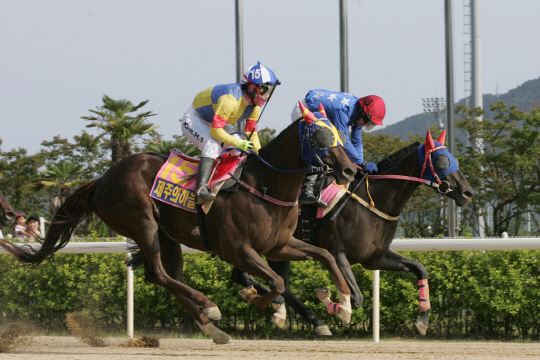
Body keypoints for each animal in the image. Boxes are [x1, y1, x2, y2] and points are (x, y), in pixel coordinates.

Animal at [1, 109, 358, 344]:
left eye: (339, 133)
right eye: (321, 135)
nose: (349, 170)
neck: (266, 185)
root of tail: (102, 179)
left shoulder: (279, 245)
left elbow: (325, 255)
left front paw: (341, 305)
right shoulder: (238, 250)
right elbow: (277, 282)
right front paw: (261, 301)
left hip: (166, 234)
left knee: (162, 276)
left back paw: (211, 326)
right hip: (141, 222)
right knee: (160, 274)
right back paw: (209, 307)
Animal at [230, 131, 474, 336]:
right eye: (442, 159)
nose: (467, 192)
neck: (375, 201)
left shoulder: (375, 257)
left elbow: (420, 269)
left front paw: (423, 320)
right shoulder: (338, 252)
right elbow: (356, 298)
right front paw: (331, 301)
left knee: (250, 278)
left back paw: (283, 308)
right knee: (266, 281)